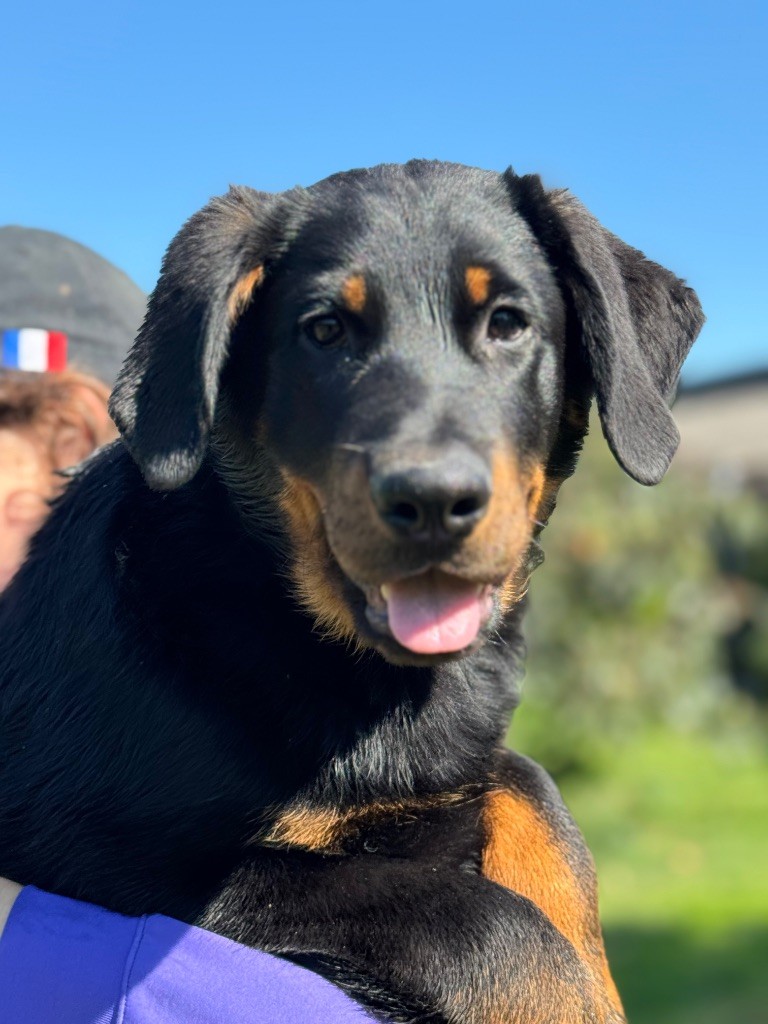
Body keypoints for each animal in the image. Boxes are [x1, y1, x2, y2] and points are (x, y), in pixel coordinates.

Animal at [0, 162, 703, 1023]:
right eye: (325, 330)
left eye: (508, 323)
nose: (432, 500)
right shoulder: (131, 859)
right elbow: (478, 921)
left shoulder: (462, 764)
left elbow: (537, 797)